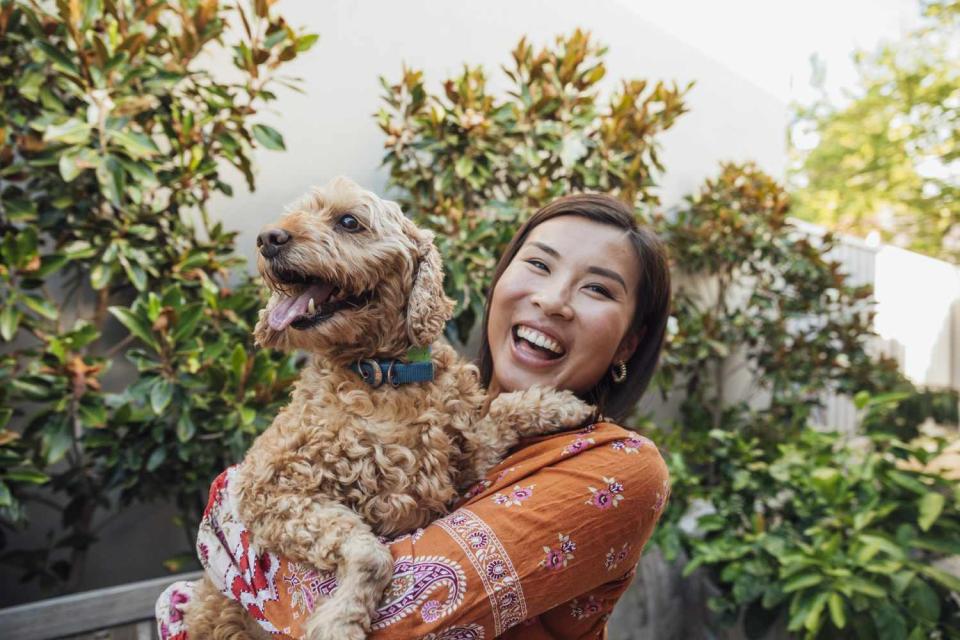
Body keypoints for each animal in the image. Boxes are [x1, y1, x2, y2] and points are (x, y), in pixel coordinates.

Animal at [183, 176, 588, 640]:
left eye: (348, 221)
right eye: (296, 214)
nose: (268, 238)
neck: (384, 375)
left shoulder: (464, 461)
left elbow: (501, 411)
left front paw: (561, 404)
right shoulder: (268, 487)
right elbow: (373, 555)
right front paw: (340, 621)